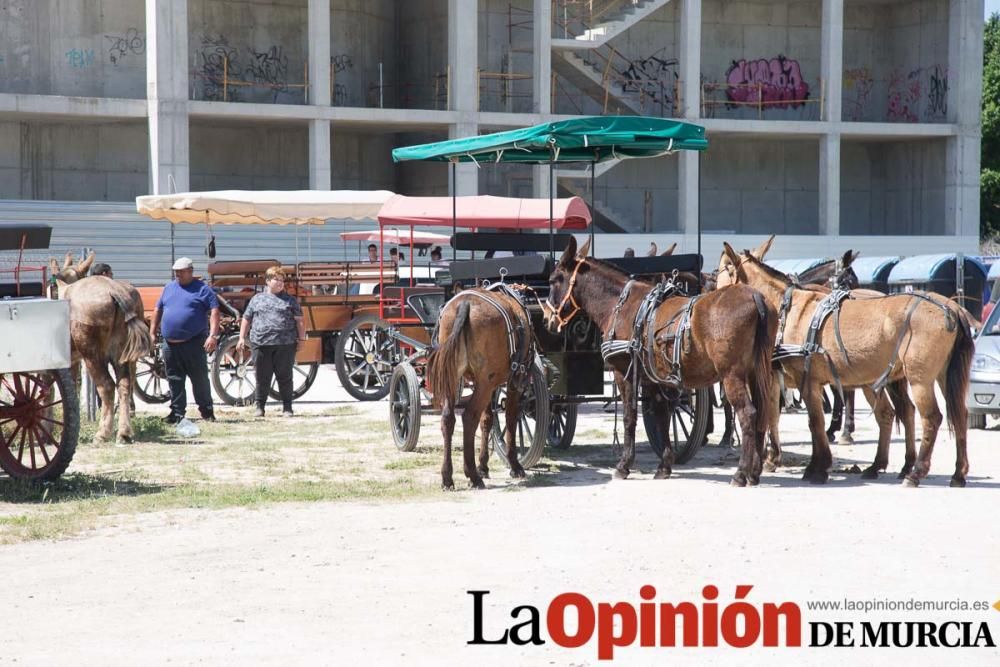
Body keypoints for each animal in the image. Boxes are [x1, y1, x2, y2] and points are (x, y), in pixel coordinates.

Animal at [51, 256, 150, 444]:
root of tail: (114, 291)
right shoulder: (72, 361)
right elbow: (73, 386)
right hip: (120, 354)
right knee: (125, 384)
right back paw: (124, 432)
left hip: (92, 355)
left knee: (107, 385)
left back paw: (103, 433)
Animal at [428, 288, 544, 490]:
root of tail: (465, 303)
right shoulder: (511, 384)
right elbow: (511, 419)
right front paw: (514, 465)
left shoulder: (487, 386)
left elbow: (487, 420)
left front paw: (483, 465)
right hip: (485, 383)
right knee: (469, 417)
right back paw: (472, 475)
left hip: (455, 379)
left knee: (448, 419)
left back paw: (448, 477)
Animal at [548, 239, 772, 486]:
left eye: (553, 280)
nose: (548, 319)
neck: (620, 305)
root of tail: (755, 297)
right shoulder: (653, 379)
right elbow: (662, 416)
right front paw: (664, 465)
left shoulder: (624, 373)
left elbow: (629, 417)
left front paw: (624, 465)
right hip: (755, 373)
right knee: (763, 412)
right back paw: (754, 472)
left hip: (732, 376)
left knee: (748, 414)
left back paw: (741, 472)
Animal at [716, 243, 972, 488]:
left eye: (722, 272)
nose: (713, 297)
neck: (787, 310)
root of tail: (953, 308)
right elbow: (784, 418)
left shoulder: (804, 380)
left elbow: (812, 422)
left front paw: (817, 467)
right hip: (935, 376)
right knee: (950, 414)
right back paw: (951, 473)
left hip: (919, 380)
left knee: (930, 418)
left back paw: (915, 472)